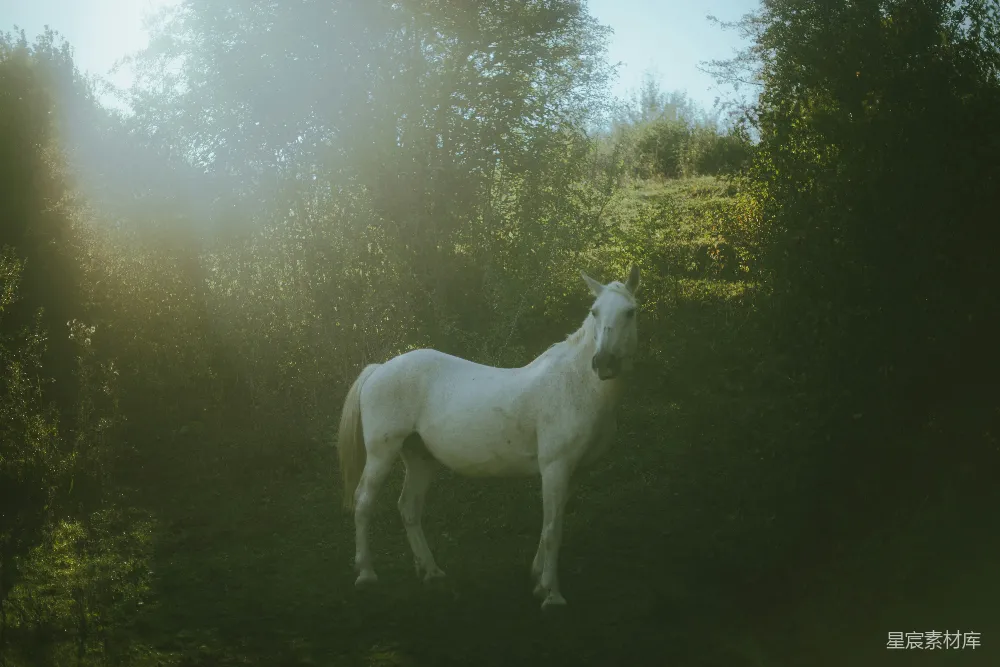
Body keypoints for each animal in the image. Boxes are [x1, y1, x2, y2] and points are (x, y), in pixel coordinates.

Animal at [337, 265, 641, 609]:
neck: (575, 385)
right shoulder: (555, 467)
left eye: (630, 312)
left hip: (420, 457)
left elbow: (551, 524)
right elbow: (553, 530)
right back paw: (366, 574)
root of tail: (380, 369)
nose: (603, 363)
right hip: (381, 453)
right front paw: (552, 595)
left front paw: (538, 579)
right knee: (364, 502)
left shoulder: (574, 472)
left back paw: (432, 572)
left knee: (409, 507)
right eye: (595, 311)